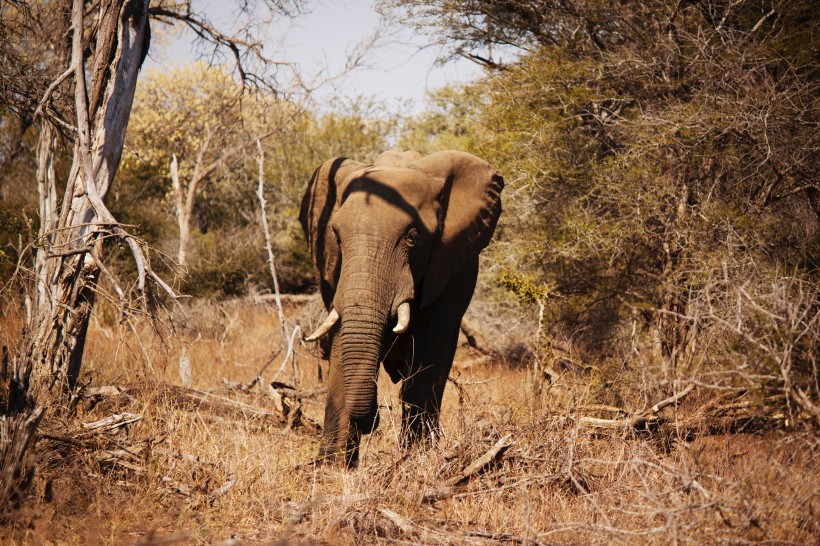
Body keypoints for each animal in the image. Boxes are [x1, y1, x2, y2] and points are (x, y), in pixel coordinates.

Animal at [300, 148, 502, 464]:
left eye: (412, 238)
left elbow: (432, 348)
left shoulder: (453, 269)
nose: (374, 420)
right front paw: (333, 467)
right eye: (337, 237)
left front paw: (416, 459)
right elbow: (342, 339)